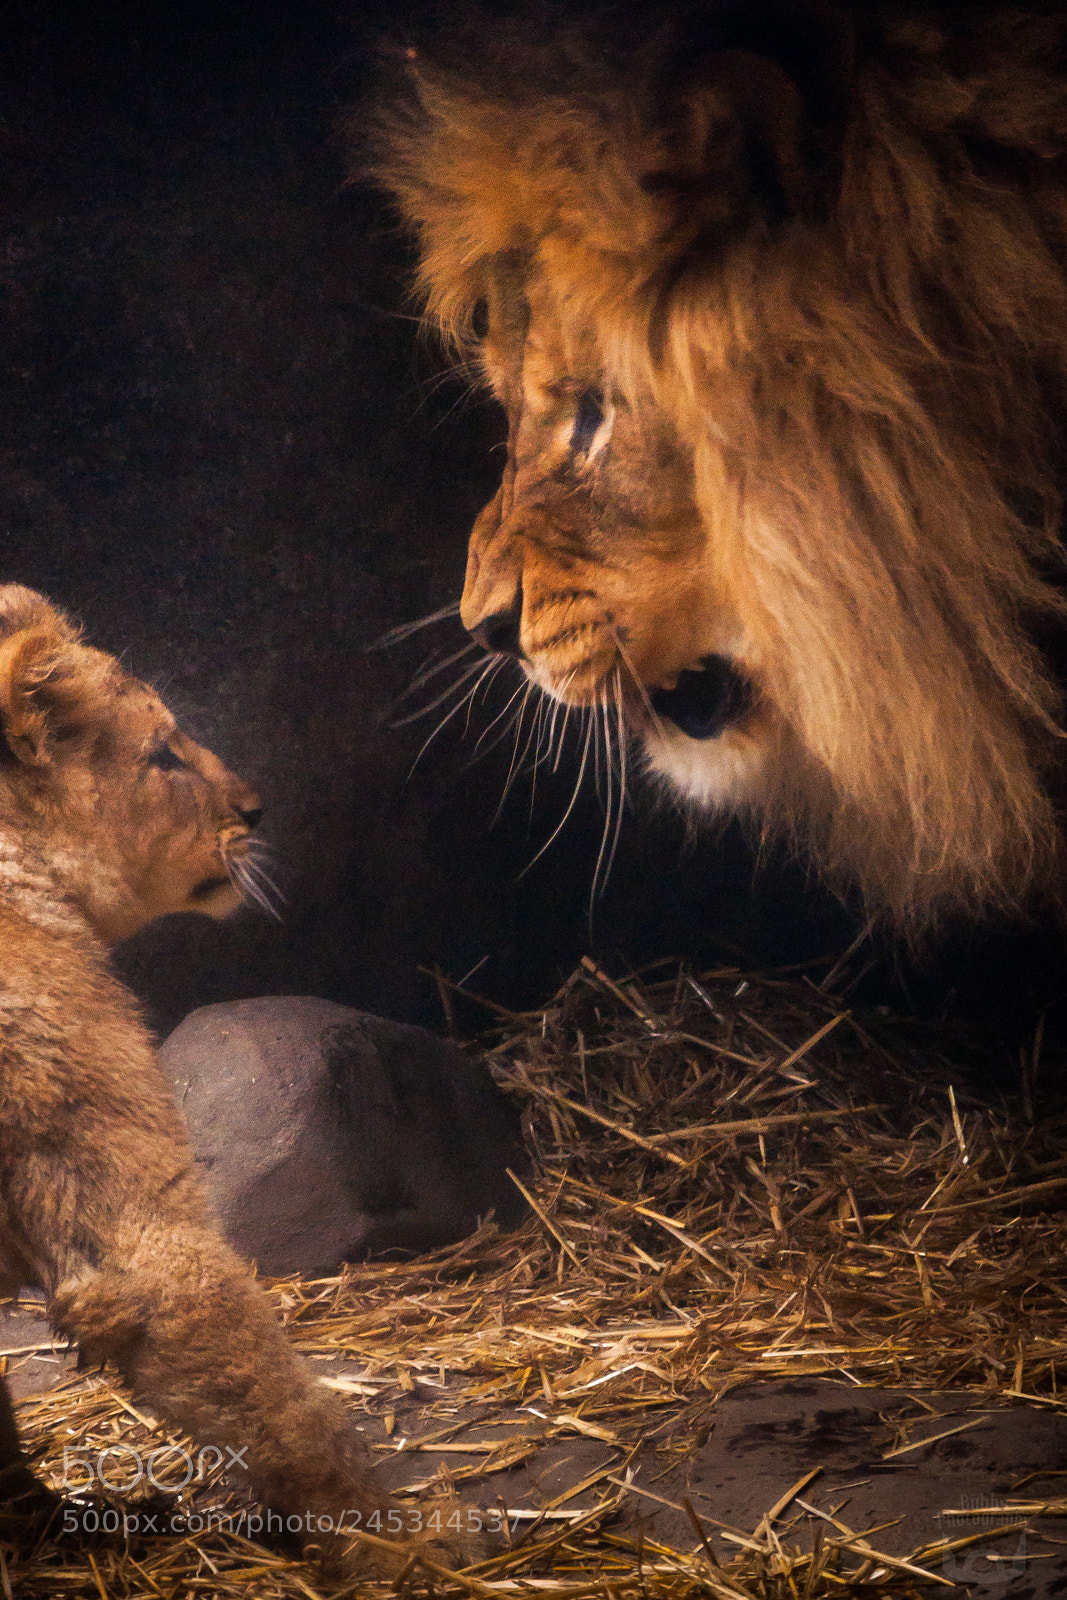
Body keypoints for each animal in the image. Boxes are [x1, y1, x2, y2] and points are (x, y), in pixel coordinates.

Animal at [0, 585, 463, 1576]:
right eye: (164, 754)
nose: (256, 807)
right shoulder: (117, 1213)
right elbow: (260, 1385)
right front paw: (399, 1541)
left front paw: (43, 1526)